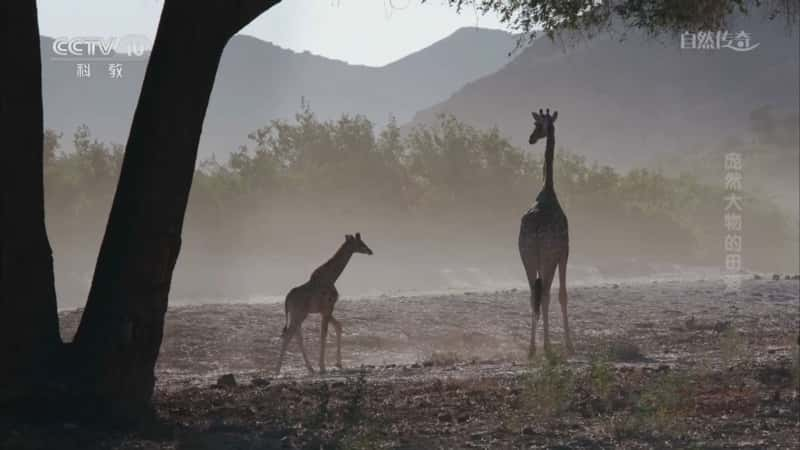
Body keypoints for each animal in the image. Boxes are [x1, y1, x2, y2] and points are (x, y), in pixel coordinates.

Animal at [274, 234, 374, 374]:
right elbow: (324, 334)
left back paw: (310, 368)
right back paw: (277, 370)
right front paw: (322, 366)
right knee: (289, 335)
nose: (370, 251)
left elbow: (338, 326)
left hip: (296, 314)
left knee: (297, 336)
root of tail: (287, 298)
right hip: (300, 313)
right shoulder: (328, 308)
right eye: (360, 243)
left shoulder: (325, 310)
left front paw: (338, 363)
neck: (332, 277)